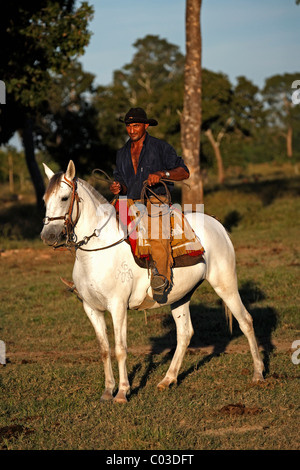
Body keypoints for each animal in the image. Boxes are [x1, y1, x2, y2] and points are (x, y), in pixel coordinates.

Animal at [41, 161, 264, 400]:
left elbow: (120, 349)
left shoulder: (118, 306)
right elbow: (104, 349)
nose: (48, 236)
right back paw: (168, 379)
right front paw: (108, 391)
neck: (97, 252)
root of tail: (217, 224)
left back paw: (258, 374)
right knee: (185, 333)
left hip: (225, 284)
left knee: (246, 321)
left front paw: (122, 393)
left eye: (64, 198)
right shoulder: (91, 308)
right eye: (45, 200)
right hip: (180, 296)